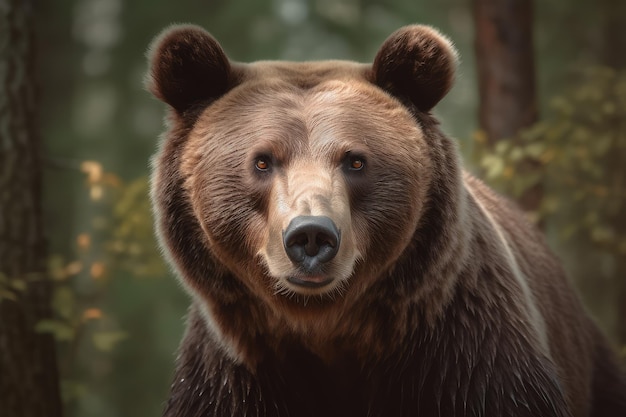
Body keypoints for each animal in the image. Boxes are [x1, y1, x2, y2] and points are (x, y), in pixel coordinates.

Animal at [145, 23, 624, 416]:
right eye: (262, 161)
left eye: (355, 161)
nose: (311, 236)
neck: (328, 330)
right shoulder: (232, 374)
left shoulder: (470, 353)